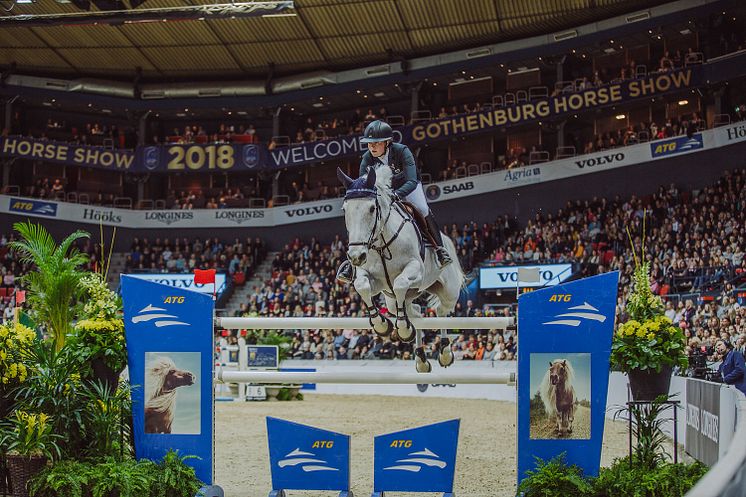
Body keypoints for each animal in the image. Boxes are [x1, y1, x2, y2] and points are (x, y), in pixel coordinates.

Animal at [336, 165, 462, 370]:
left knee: (441, 311)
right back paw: (421, 359)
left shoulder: (415, 269)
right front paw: (382, 325)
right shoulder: (372, 278)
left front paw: (402, 330)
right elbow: (362, 286)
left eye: (372, 208)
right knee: (416, 313)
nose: (355, 256)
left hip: (448, 292)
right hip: (394, 301)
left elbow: (400, 283)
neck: (381, 244)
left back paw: (444, 352)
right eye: (345, 210)